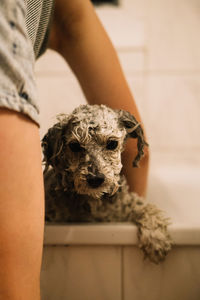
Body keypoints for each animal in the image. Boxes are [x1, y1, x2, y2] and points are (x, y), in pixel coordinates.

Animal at [41, 104, 172, 264]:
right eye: (75, 146)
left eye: (112, 143)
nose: (95, 178)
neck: (93, 202)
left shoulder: (127, 205)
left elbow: (147, 208)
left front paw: (156, 239)